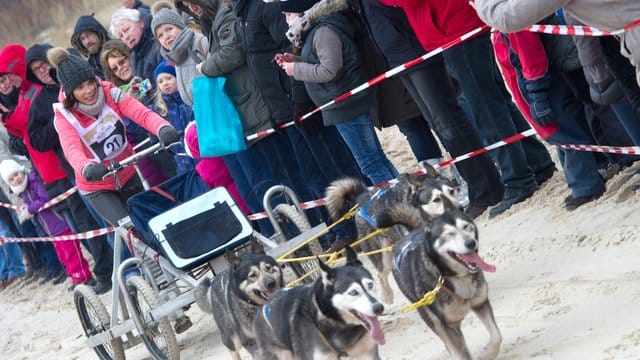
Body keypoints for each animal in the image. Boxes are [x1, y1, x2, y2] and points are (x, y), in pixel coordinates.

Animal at [324, 167, 460, 302]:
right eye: (436, 200)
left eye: (451, 191)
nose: (461, 208)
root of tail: (363, 199)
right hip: (383, 258)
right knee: (380, 274)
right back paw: (387, 295)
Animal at [378, 207, 502, 358]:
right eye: (450, 234)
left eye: (467, 227)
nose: (471, 243)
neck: (453, 276)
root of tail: (405, 237)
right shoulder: (448, 326)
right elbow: (461, 353)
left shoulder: (481, 304)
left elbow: (497, 336)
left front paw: (488, 353)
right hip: (429, 316)